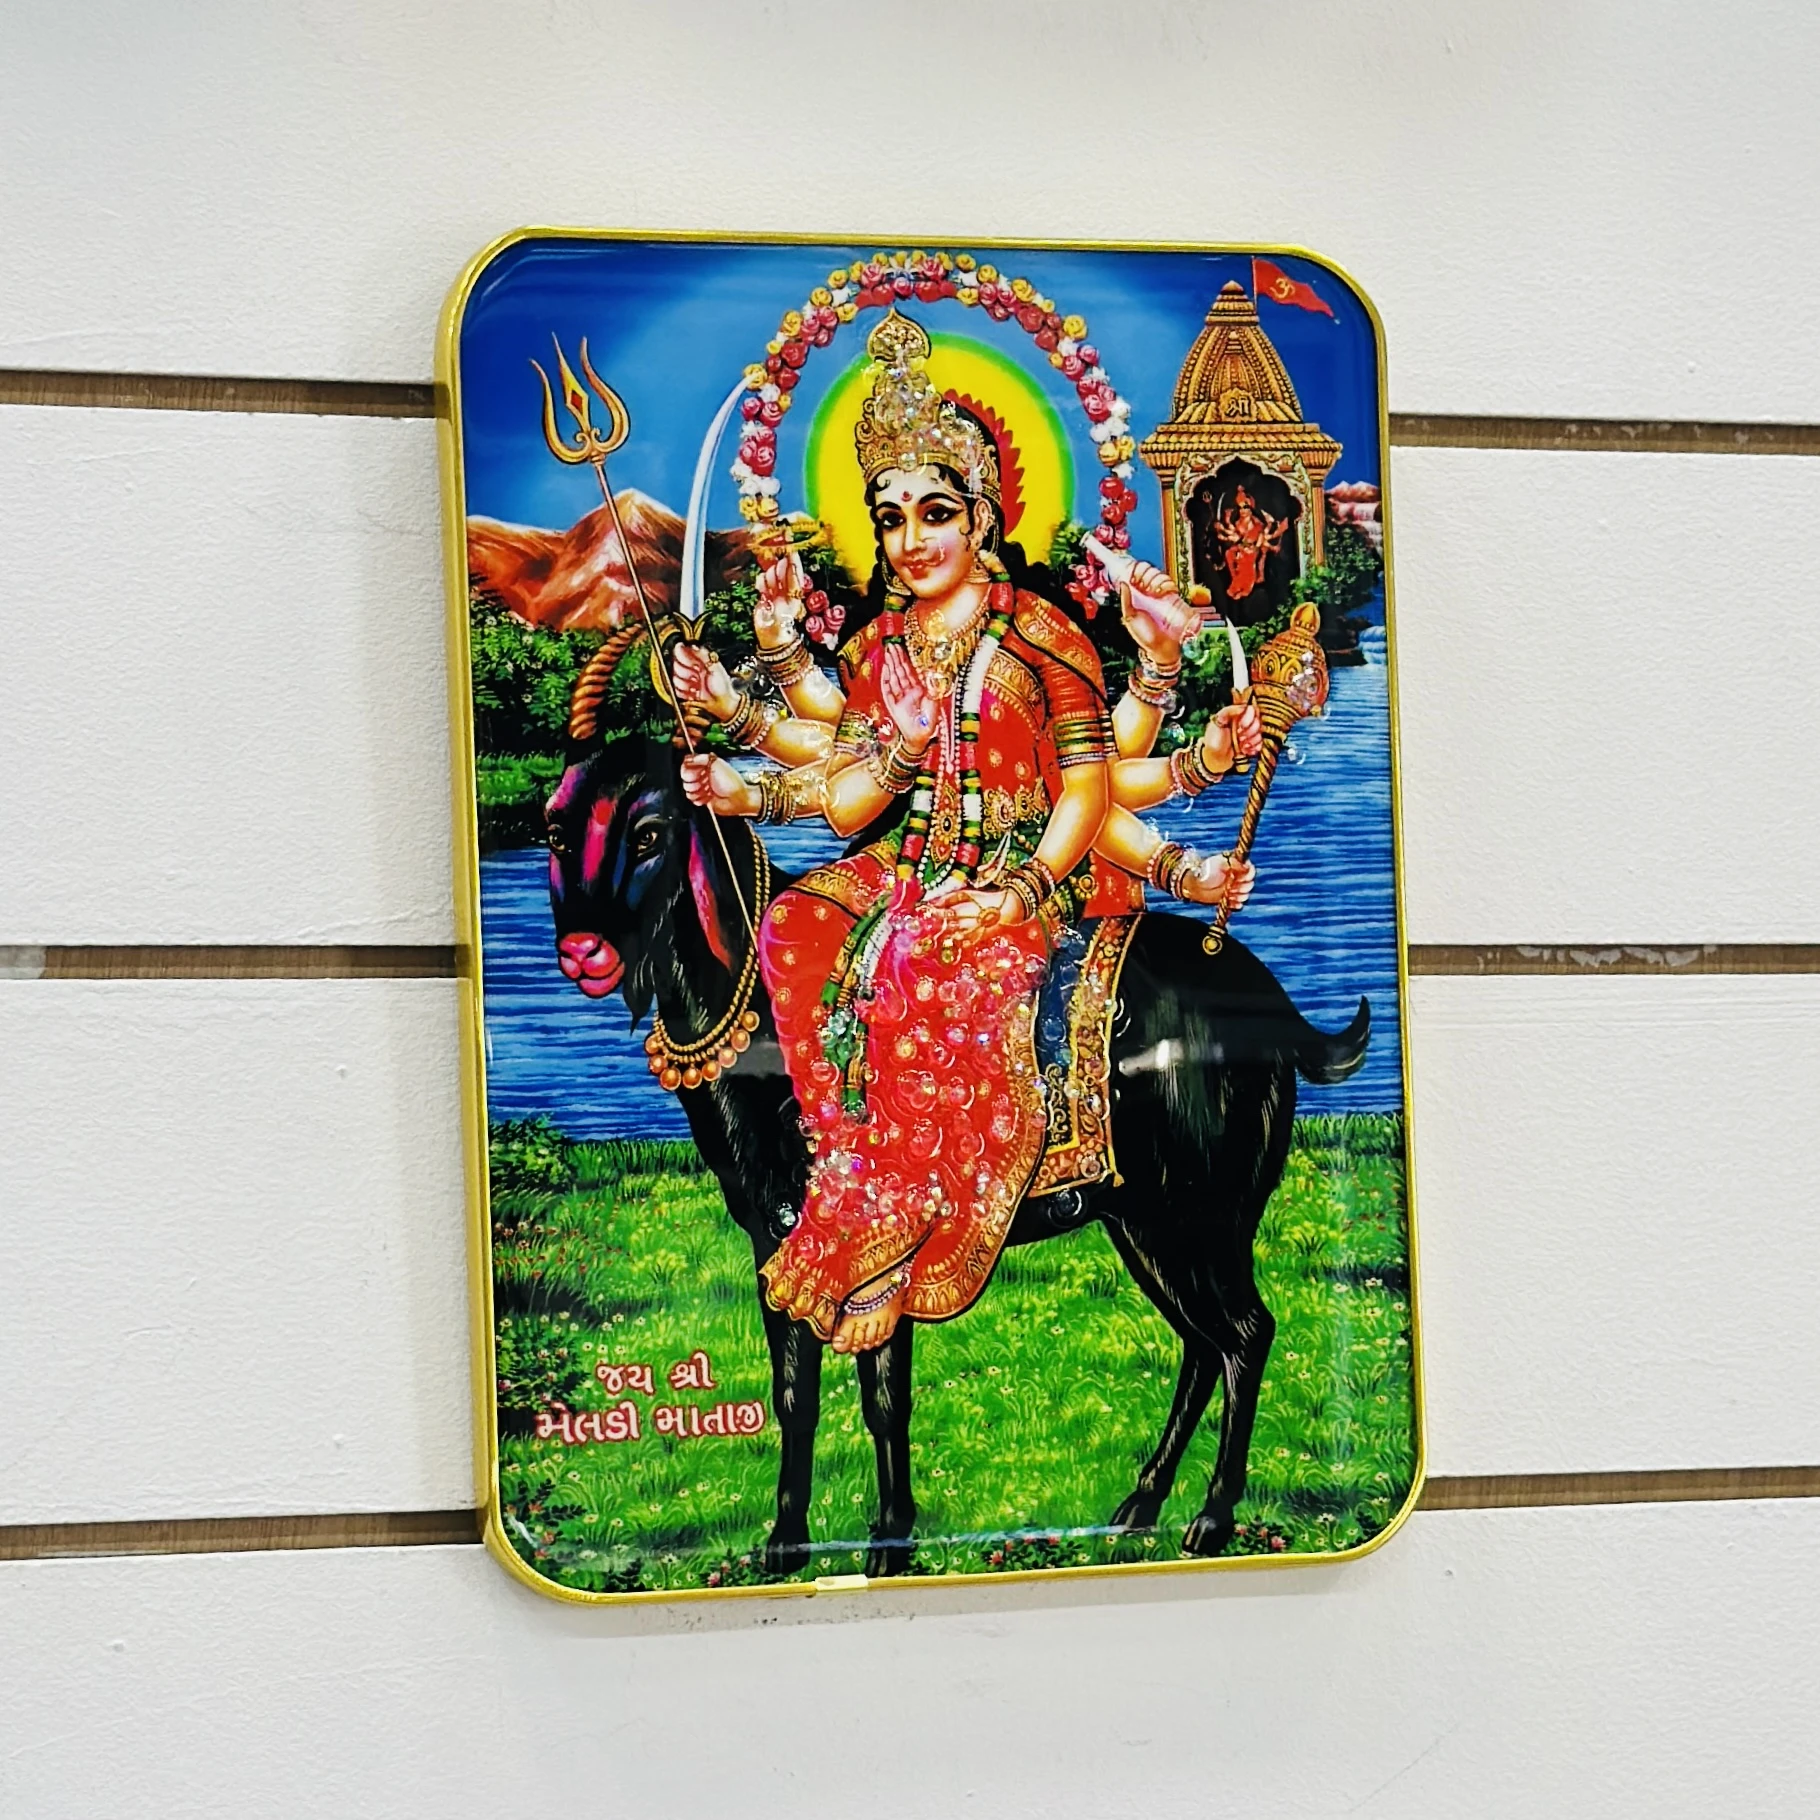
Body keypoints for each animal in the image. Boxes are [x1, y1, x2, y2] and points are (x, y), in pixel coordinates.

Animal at [542, 733, 1370, 1574]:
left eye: (649, 834)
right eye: (557, 833)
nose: (582, 954)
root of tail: (1273, 1005)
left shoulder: (875, 1235)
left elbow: (882, 1395)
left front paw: (889, 1539)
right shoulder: (772, 1233)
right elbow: (793, 1393)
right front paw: (786, 1541)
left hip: (1199, 1214)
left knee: (1245, 1335)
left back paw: (1211, 1517)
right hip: (1145, 1221)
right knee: (1205, 1345)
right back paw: (1140, 1507)